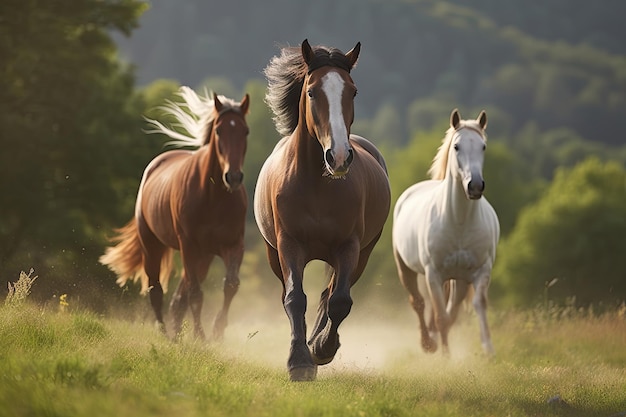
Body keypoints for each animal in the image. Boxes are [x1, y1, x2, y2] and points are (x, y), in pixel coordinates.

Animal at [100, 86, 249, 340]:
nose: (234, 177)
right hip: (153, 247)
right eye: (218, 130)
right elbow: (195, 293)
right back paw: (164, 333)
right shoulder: (188, 245)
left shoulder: (233, 245)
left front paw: (217, 332)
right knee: (157, 289)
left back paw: (177, 334)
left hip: (203, 256)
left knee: (180, 297)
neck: (214, 196)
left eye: (245, 131)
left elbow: (230, 284)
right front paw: (200, 336)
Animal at [251, 39, 388, 380]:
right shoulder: (289, 245)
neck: (316, 184)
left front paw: (321, 350)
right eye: (312, 92)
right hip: (274, 255)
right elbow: (294, 298)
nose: (338, 156)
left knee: (330, 294)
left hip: (362, 254)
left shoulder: (349, 246)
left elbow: (338, 301)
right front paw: (299, 362)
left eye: (353, 91)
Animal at [392, 107, 500, 354]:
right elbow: (441, 317)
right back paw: (428, 343)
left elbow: (476, 306)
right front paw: (445, 356)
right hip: (408, 270)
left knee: (447, 311)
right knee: (419, 302)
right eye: (457, 146)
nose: (475, 186)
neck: (458, 222)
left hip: (458, 281)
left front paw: (489, 350)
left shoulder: (481, 271)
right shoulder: (433, 273)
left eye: (483, 146)